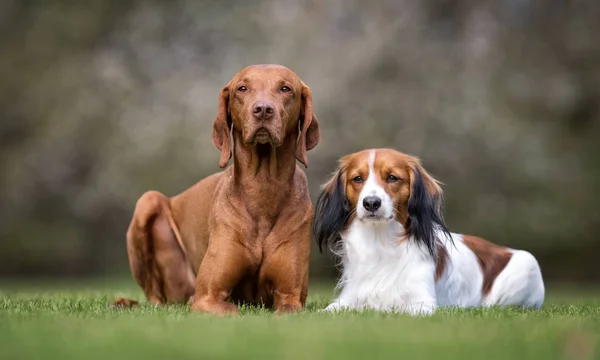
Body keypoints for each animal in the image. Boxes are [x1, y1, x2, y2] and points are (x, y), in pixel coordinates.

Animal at [110, 64, 322, 316]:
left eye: (286, 88)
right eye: (242, 88)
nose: (263, 110)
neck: (263, 188)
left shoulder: (291, 296)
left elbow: (287, 309)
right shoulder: (208, 296)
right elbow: (232, 311)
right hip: (148, 201)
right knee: (155, 300)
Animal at [314, 148, 544, 314]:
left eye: (392, 178)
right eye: (357, 179)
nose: (371, 203)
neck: (380, 241)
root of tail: (503, 249)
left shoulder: (422, 304)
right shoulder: (346, 300)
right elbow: (328, 311)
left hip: (528, 262)